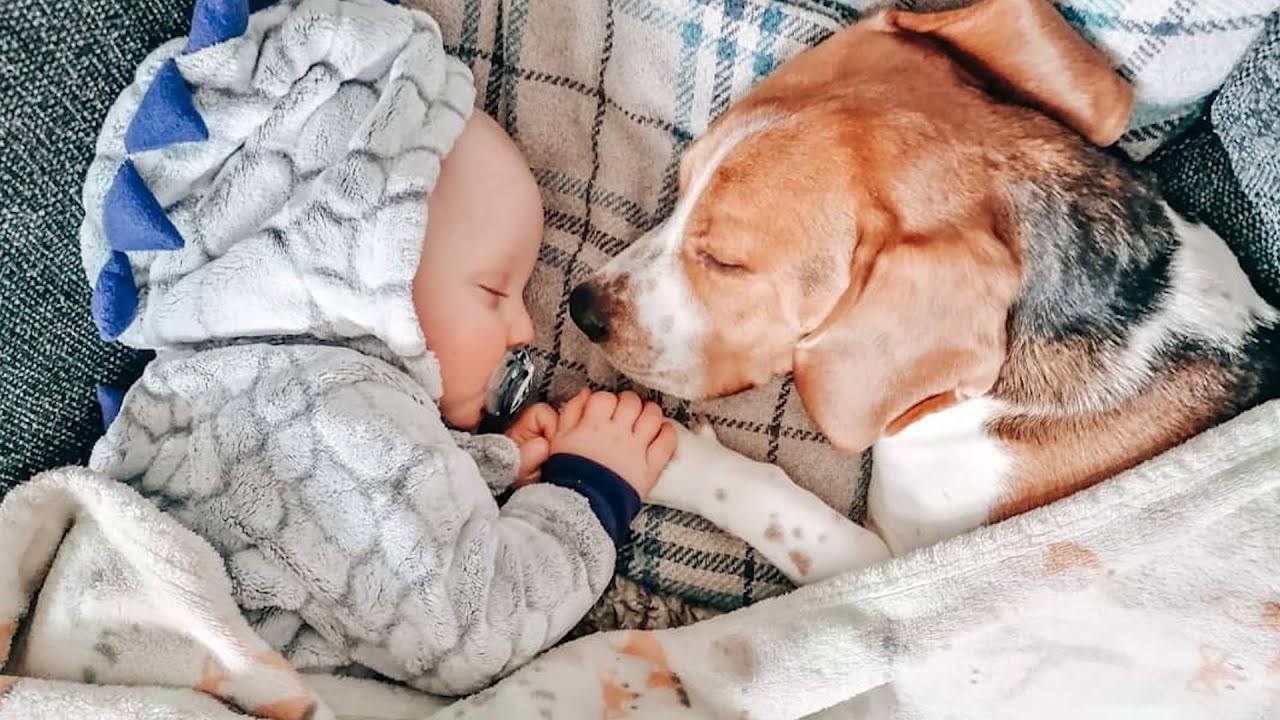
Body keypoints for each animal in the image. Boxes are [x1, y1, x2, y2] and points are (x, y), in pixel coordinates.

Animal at [570, 0, 1280, 584]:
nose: (582, 309)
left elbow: (774, 502)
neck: (1126, 308)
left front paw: (662, 454)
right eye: (681, 187)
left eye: (725, 262)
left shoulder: (893, 558)